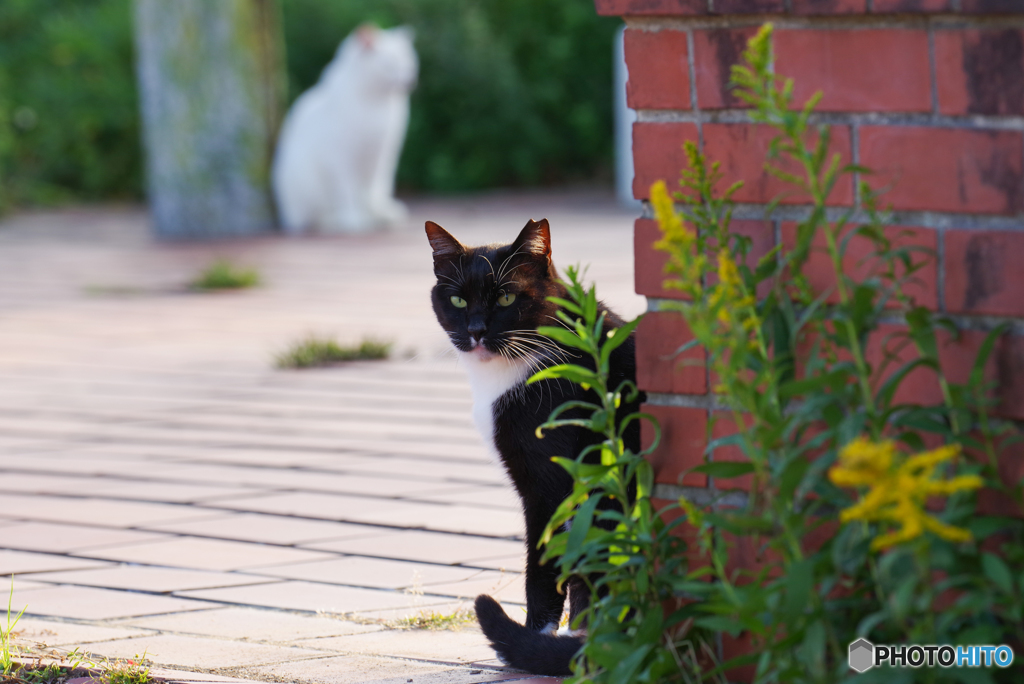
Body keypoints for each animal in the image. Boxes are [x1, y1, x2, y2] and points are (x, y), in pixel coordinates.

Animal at [274, 25, 417, 235]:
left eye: (409, 64)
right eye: (388, 65)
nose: (410, 81)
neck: (379, 104)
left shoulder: (383, 155)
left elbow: (378, 188)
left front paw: (380, 212)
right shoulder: (340, 159)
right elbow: (346, 192)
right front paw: (353, 220)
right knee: (311, 220)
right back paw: (339, 221)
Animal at [423, 218, 638, 671]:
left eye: (506, 297)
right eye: (457, 299)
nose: (476, 331)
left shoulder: (549, 482)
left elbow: (543, 563)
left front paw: (538, 635)